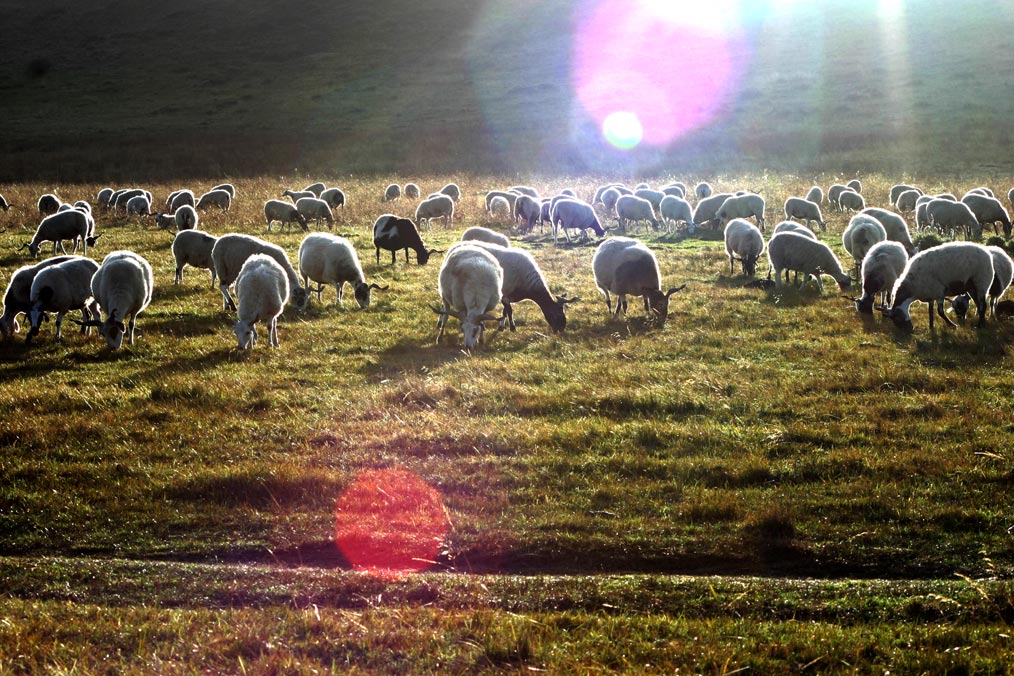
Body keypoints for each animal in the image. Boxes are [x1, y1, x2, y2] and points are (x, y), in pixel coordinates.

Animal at [452, 240, 580, 332]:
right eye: (556, 315)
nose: (560, 330)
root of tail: (457, 245)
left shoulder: (507, 296)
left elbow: (505, 311)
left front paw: (502, 326)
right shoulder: (505, 294)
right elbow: (509, 311)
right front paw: (512, 327)